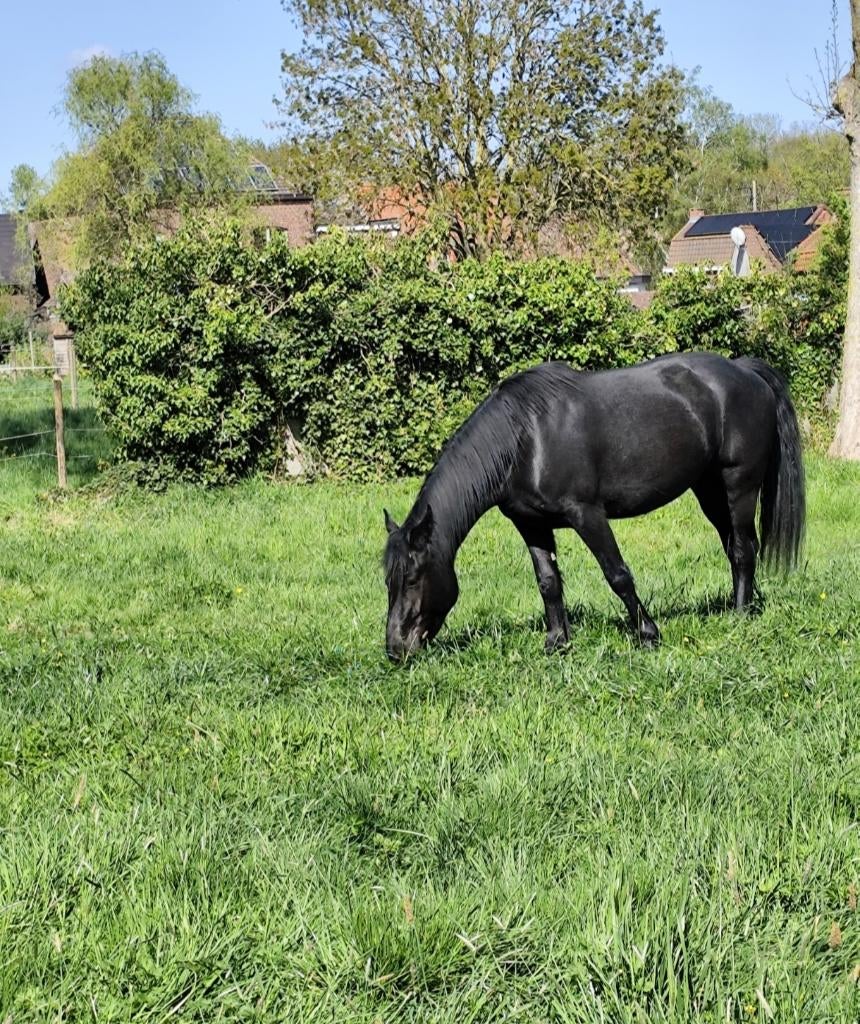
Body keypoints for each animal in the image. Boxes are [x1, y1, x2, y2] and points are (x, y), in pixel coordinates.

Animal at [383, 352, 805, 661]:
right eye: (388, 580)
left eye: (413, 578)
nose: (396, 649)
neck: (525, 438)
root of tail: (744, 370)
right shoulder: (531, 524)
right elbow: (548, 582)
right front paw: (557, 642)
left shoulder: (587, 514)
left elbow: (617, 574)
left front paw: (648, 634)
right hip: (709, 491)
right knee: (735, 547)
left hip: (738, 485)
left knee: (743, 548)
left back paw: (740, 615)